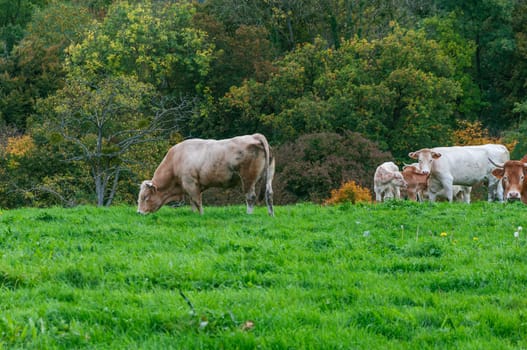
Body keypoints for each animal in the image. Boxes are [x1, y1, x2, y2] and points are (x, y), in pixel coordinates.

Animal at [136, 134, 276, 216]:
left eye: (145, 197)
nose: (139, 212)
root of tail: (254, 136)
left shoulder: (190, 183)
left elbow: (197, 201)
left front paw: (201, 215)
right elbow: (192, 202)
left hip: (248, 178)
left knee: (250, 197)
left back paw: (248, 215)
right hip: (269, 174)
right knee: (269, 194)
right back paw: (271, 214)